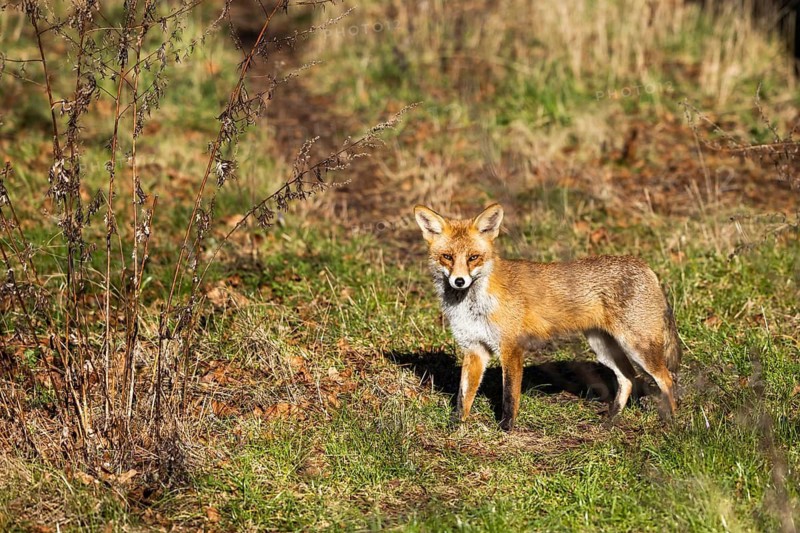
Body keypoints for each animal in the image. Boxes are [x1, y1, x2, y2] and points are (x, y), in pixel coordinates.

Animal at [414, 203, 680, 431]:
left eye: (473, 257)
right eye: (447, 256)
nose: (459, 281)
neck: (473, 305)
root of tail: (644, 265)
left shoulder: (511, 348)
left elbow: (509, 396)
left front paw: (506, 429)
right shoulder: (474, 348)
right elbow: (463, 396)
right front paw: (455, 427)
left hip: (638, 347)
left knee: (667, 379)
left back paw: (671, 422)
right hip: (603, 347)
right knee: (628, 379)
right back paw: (611, 419)